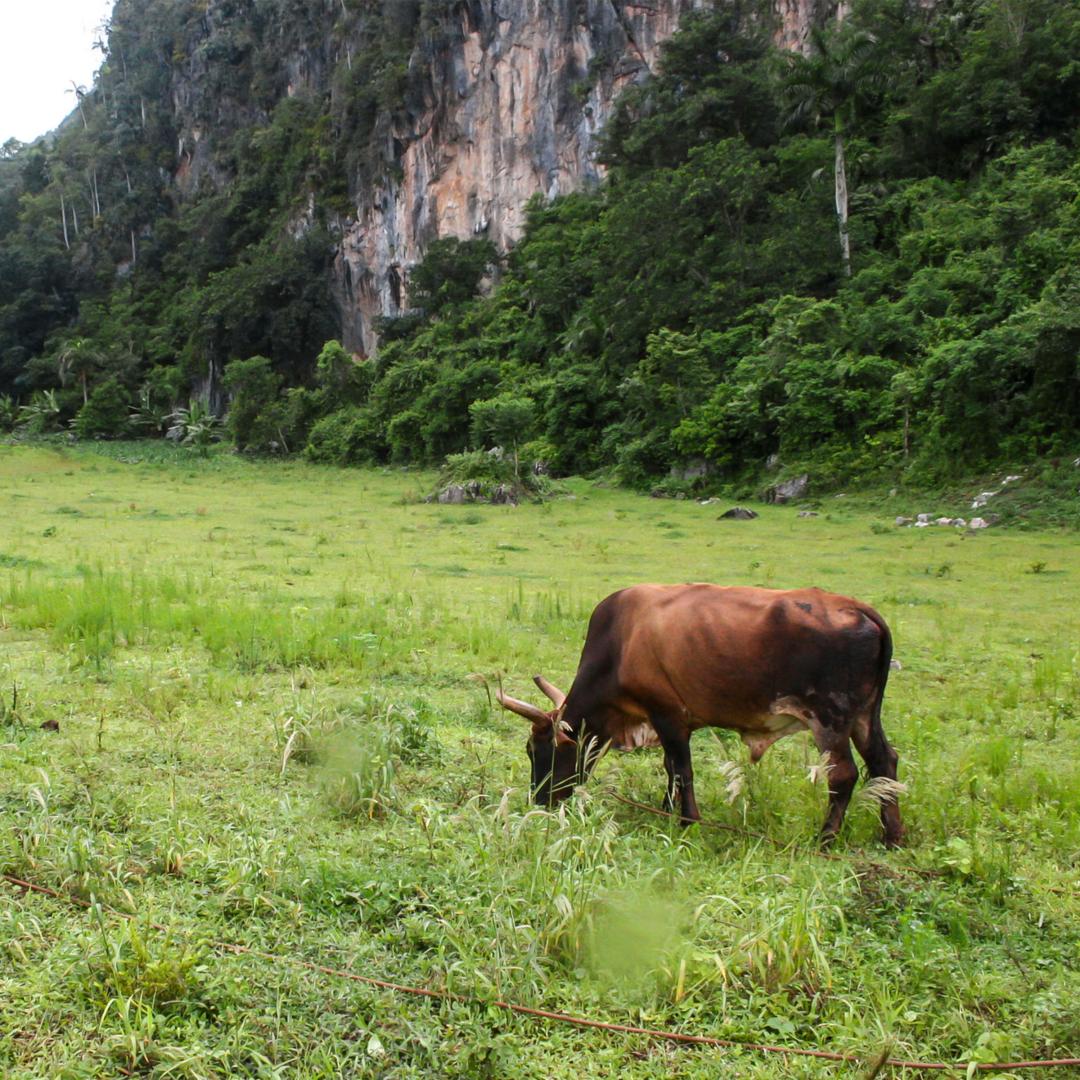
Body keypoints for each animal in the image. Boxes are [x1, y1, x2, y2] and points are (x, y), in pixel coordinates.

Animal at [496, 584, 903, 847]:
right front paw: (667, 808)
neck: (619, 645)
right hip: (865, 716)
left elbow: (681, 769)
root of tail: (859, 609)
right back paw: (892, 836)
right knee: (884, 762)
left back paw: (826, 839)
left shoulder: (668, 714)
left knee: (844, 775)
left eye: (537, 750)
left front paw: (687, 821)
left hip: (830, 718)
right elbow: (670, 768)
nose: (540, 802)